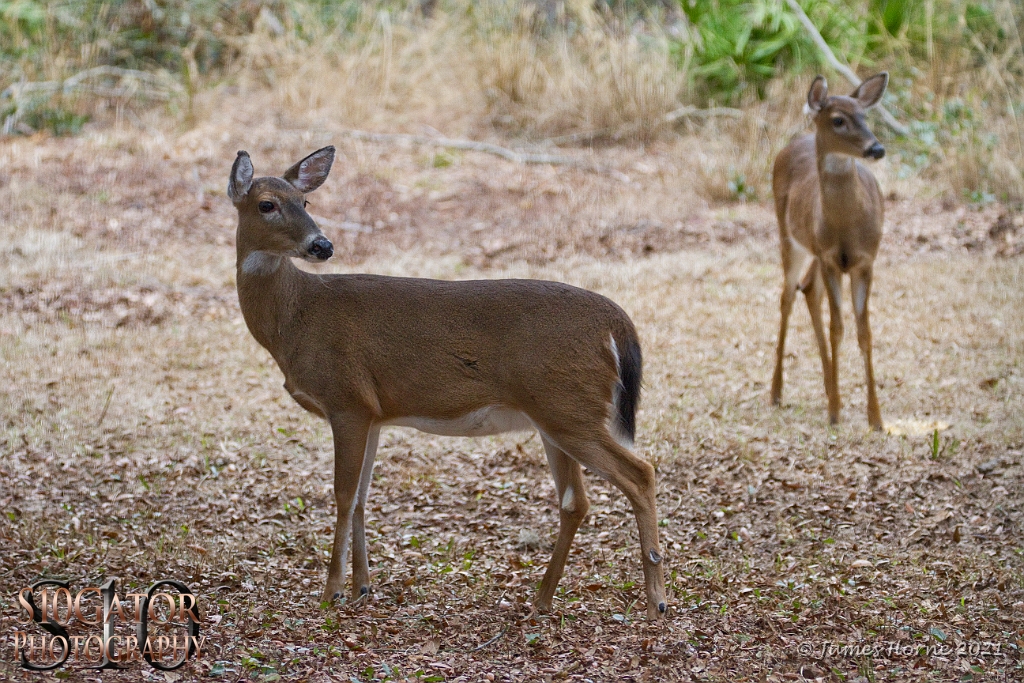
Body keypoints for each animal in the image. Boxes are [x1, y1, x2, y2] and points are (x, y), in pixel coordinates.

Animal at [227, 148, 667, 618]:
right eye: (267, 204)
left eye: (305, 202)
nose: (322, 245)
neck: (296, 319)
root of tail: (619, 324)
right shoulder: (373, 413)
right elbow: (362, 495)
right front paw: (363, 586)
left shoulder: (346, 400)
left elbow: (343, 494)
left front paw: (332, 592)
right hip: (555, 415)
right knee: (575, 500)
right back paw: (542, 600)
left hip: (571, 407)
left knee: (640, 473)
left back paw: (656, 599)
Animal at [770, 72, 888, 430]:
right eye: (838, 120)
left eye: (865, 116)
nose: (877, 148)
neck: (846, 225)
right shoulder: (831, 259)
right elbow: (838, 328)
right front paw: (835, 412)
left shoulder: (864, 261)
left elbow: (864, 332)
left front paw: (876, 418)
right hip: (790, 238)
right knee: (787, 296)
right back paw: (777, 392)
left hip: (814, 251)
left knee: (808, 288)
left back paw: (827, 384)